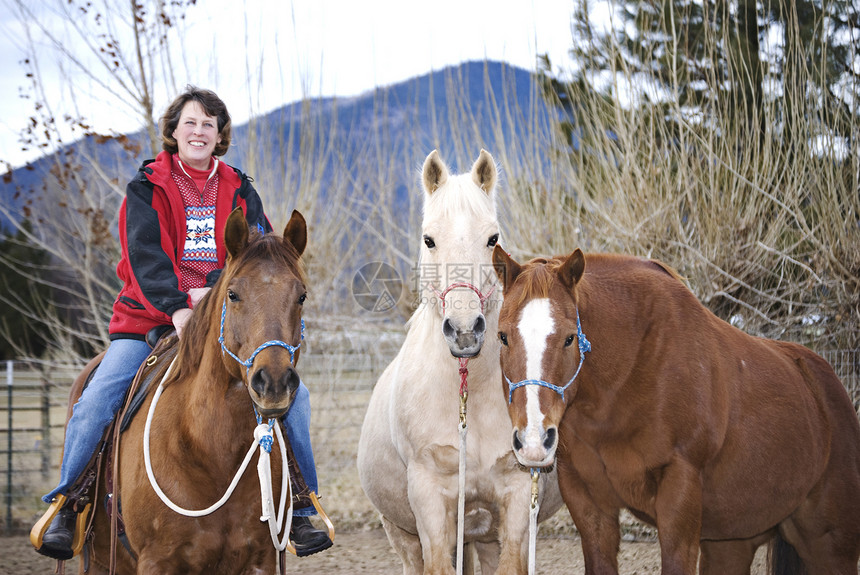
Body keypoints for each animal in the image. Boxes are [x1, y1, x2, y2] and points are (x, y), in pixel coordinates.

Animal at [74, 208, 310, 575]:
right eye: (233, 294)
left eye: (301, 296)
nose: (272, 382)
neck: (210, 451)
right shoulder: (157, 561)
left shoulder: (260, 560)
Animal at [352, 152, 560, 575]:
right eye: (429, 239)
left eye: (493, 239)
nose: (465, 332)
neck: (469, 391)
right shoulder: (429, 498)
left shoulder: (516, 493)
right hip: (402, 534)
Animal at [490, 248, 860, 575]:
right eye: (503, 336)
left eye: (569, 338)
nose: (533, 441)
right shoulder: (588, 502)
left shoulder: (679, 498)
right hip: (732, 544)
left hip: (830, 547)